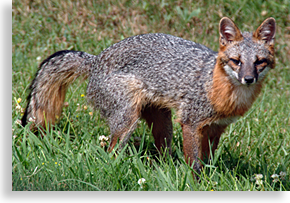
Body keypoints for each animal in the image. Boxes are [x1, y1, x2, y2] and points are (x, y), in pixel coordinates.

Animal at [21, 17, 276, 171]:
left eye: (259, 62)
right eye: (236, 61)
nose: (248, 79)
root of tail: (96, 60)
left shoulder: (216, 129)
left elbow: (207, 163)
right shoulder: (191, 123)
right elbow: (194, 165)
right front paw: (196, 183)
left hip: (163, 124)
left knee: (163, 155)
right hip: (128, 120)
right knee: (109, 152)